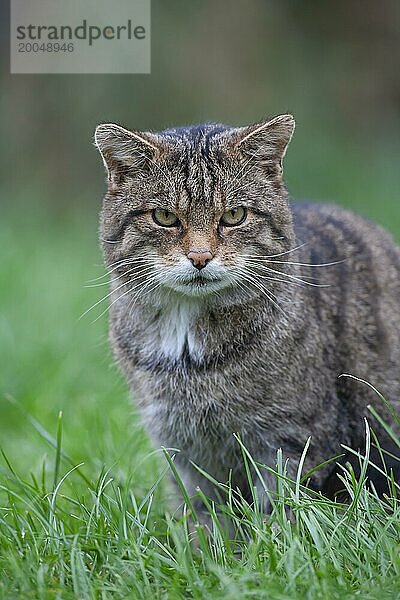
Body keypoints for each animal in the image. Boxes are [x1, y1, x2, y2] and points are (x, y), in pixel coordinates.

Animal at [94, 115, 400, 512]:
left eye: (234, 215)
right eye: (164, 217)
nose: (200, 257)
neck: (186, 347)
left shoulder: (291, 439)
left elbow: (280, 510)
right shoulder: (183, 449)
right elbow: (203, 515)